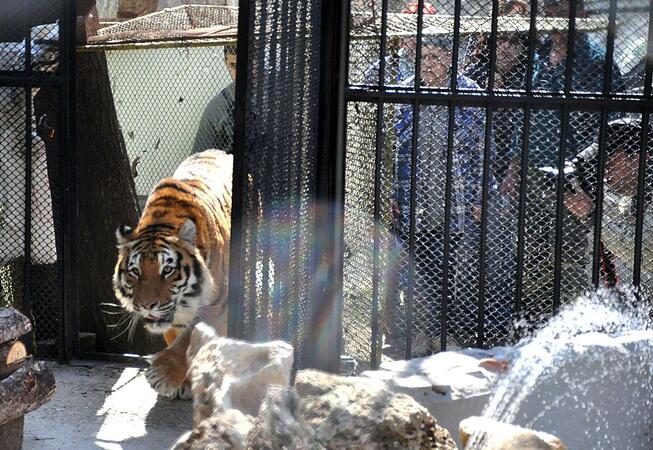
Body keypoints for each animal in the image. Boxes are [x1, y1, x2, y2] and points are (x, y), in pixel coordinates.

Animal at [112, 149, 232, 400]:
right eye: (135, 272)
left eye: (167, 270)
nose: (147, 305)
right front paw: (182, 383)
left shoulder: (219, 305)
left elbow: (190, 339)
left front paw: (162, 376)